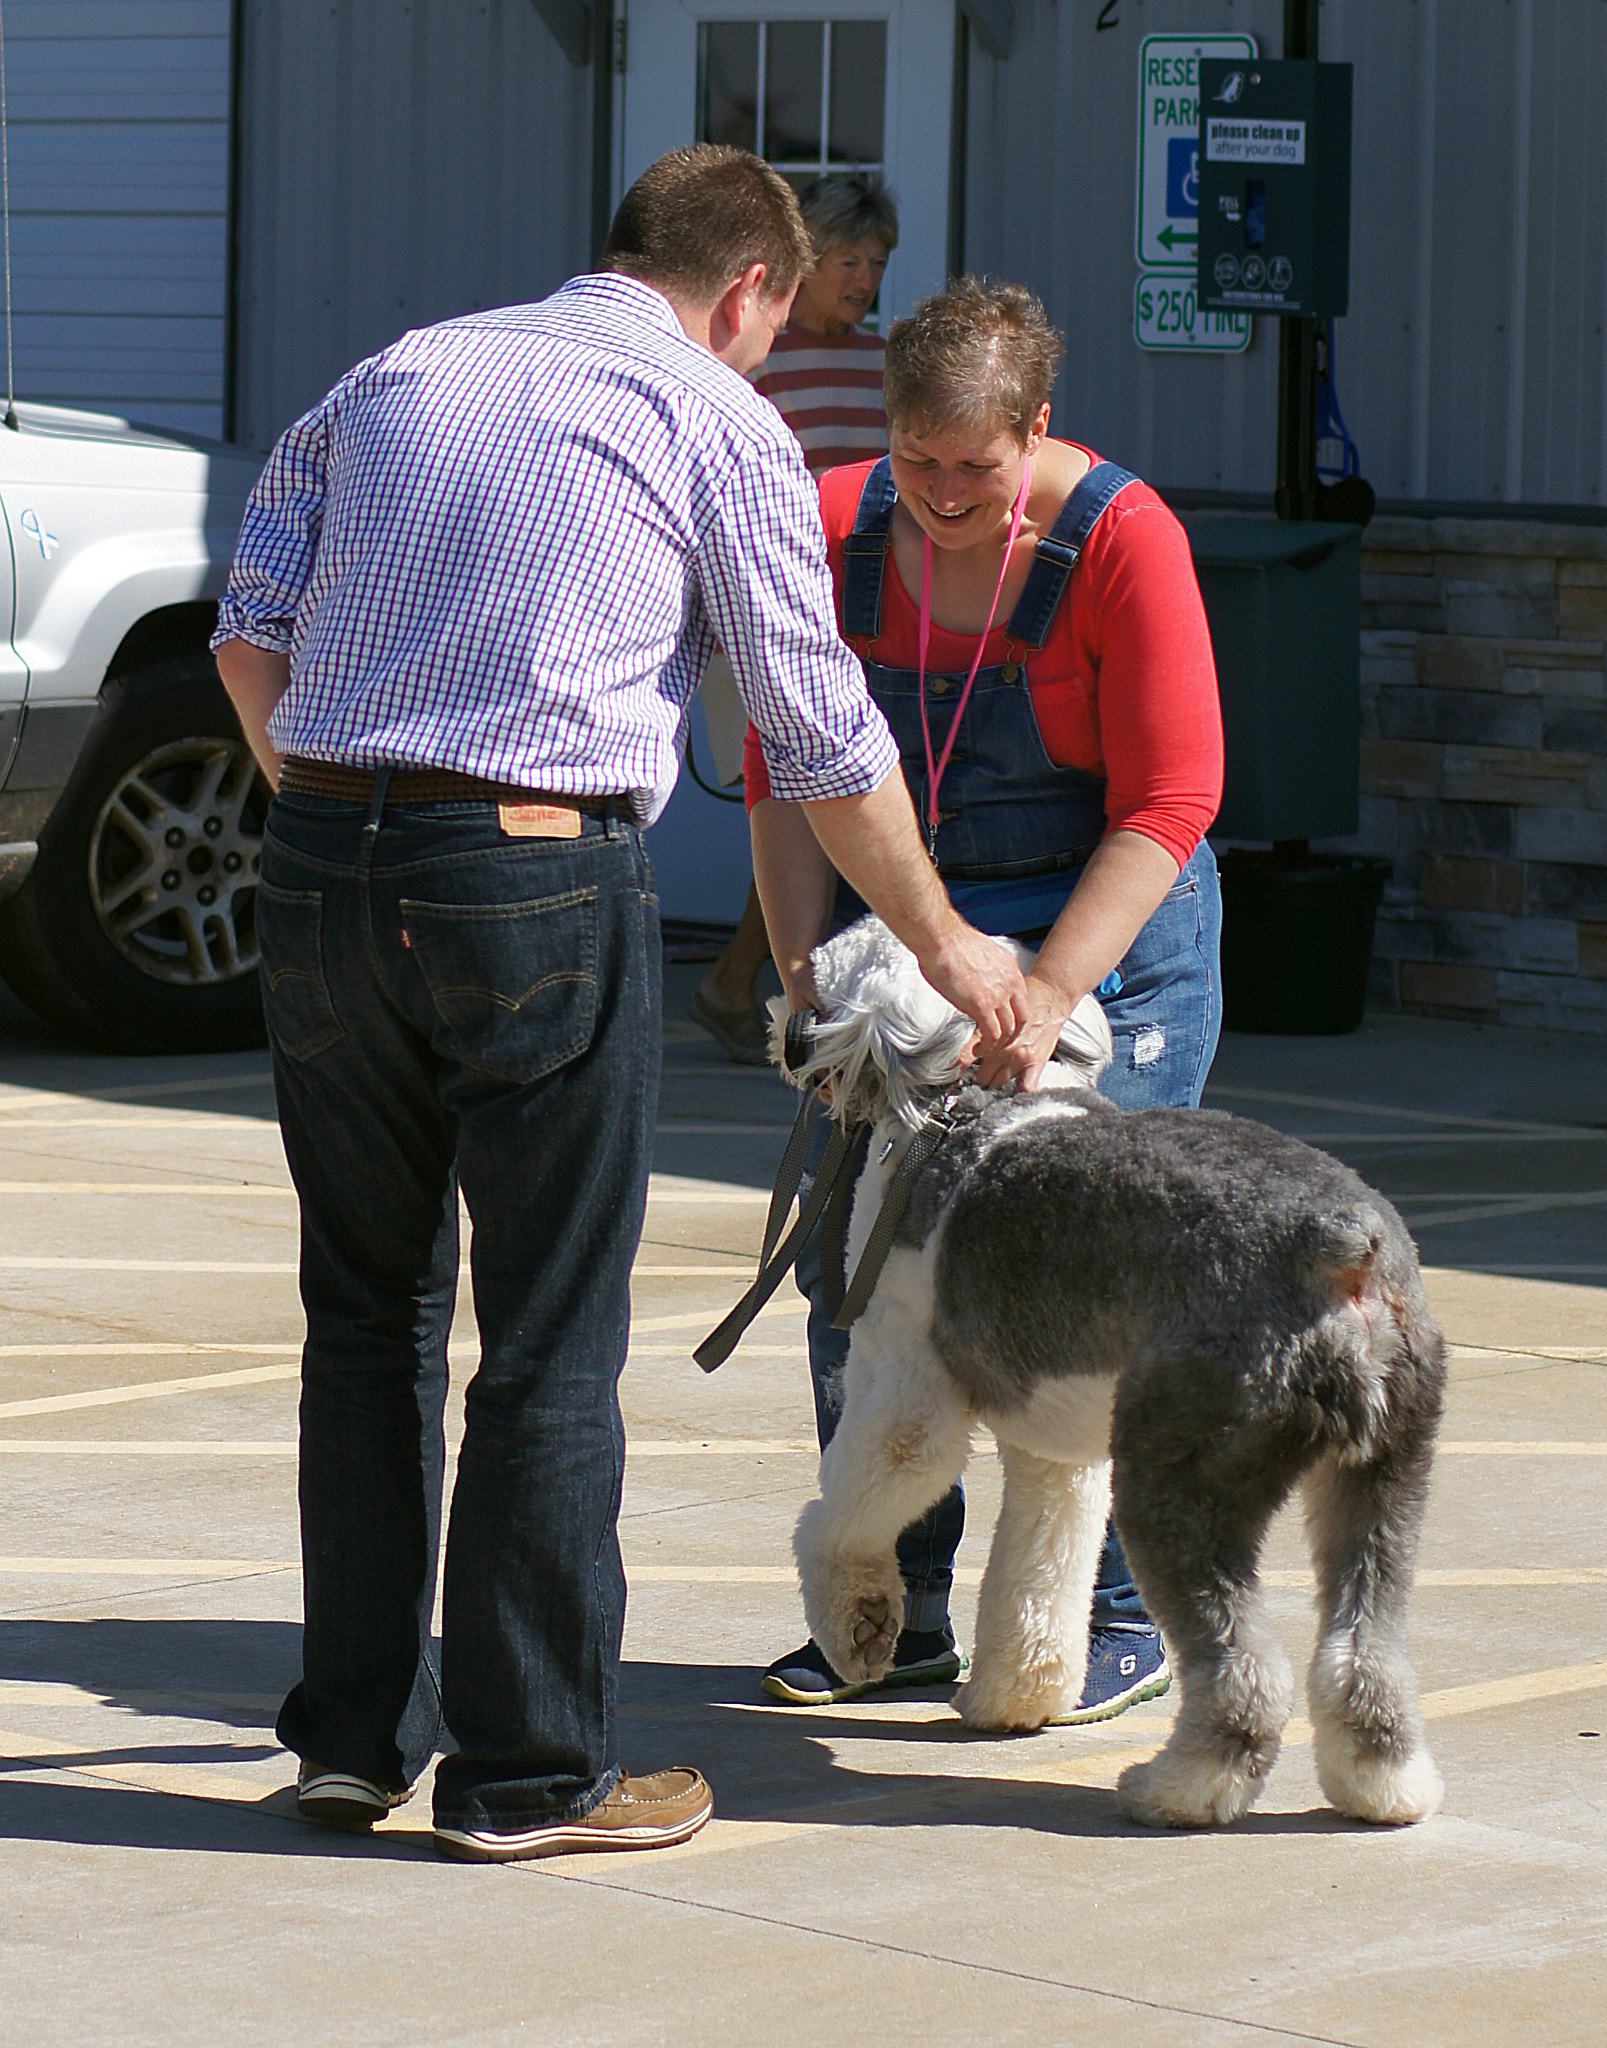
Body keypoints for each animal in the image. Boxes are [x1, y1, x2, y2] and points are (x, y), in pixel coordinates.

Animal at [769, 921, 1449, 1835]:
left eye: (825, 972)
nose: (785, 1029)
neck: (967, 1104)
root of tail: (1340, 1246)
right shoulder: (1059, 1450)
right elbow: (1040, 1568)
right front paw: (1015, 1697)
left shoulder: (903, 1387)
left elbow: (849, 1511)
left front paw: (860, 1626)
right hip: (1383, 1477)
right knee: (1360, 1649)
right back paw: (1385, 1786)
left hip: (1182, 1474)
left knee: (1243, 1667)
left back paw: (1178, 1789)